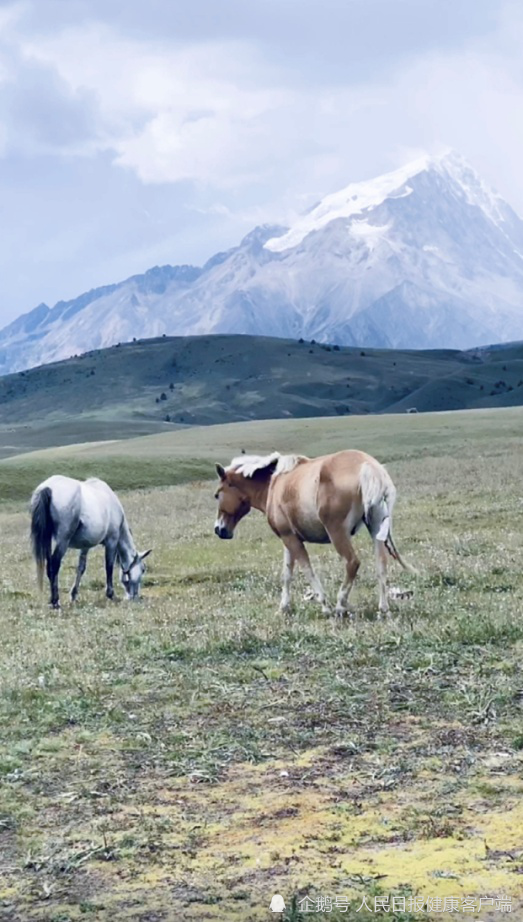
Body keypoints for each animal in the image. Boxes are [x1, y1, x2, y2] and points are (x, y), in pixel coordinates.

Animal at [31, 474, 151, 612]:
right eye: (143, 569)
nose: (135, 597)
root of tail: (48, 487)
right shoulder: (112, 541)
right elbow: (109, 566)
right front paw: (111, 594)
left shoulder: (85, 546)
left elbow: (81, 568)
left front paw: (74, 595)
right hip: (63, 541)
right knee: (54, 565)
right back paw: (55, 601)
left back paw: (52, 600)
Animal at [215, 450, 416, 616]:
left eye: (217, 495)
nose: (219, 529)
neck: (274, 482)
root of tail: (369, 467)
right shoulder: (288, 538)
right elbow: (287, 574)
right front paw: (284, 607)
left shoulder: (292, 540)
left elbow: (307, 570)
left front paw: (324, 606)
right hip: (375, 528)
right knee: (381, 565)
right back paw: (383, 608)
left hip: (338, 533)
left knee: (352, 563)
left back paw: (340, 605)